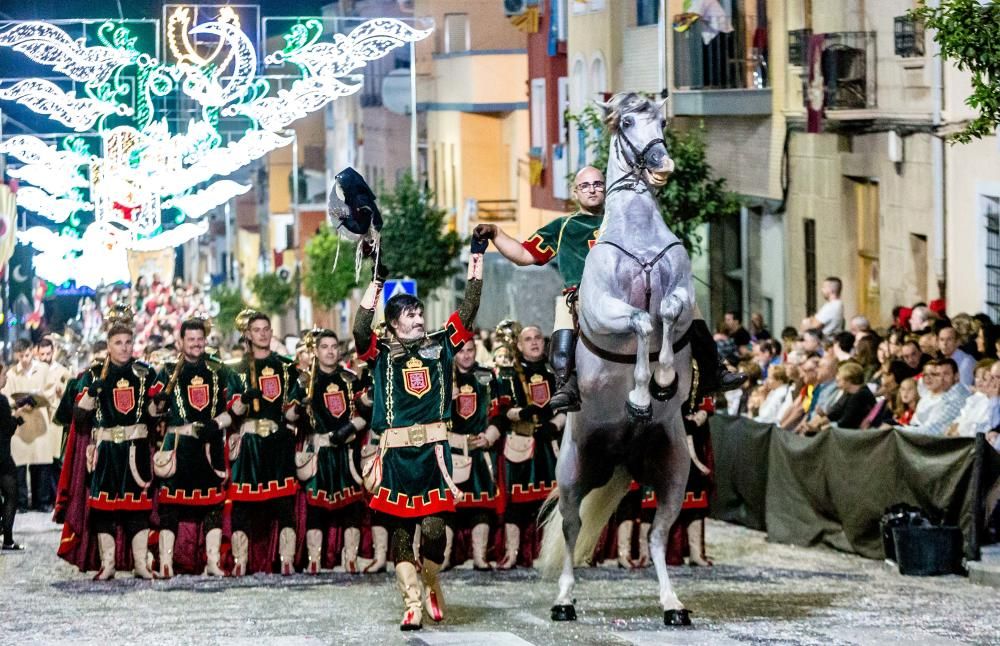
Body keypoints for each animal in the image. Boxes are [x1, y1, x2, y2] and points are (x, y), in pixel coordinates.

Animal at [540, 93, 696, 632]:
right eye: (626, 122)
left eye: (662, 120)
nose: (663, 165)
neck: (639, 238)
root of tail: (623, 455)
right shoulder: (605, 310)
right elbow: (642, 323)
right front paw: (643, 392)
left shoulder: (685, 297)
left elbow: (665, 313)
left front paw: (665, 380)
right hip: (573, 472)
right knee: (571, 528)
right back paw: (564, 600)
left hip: (672, 472)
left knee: (656, 536)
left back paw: (673, 605)